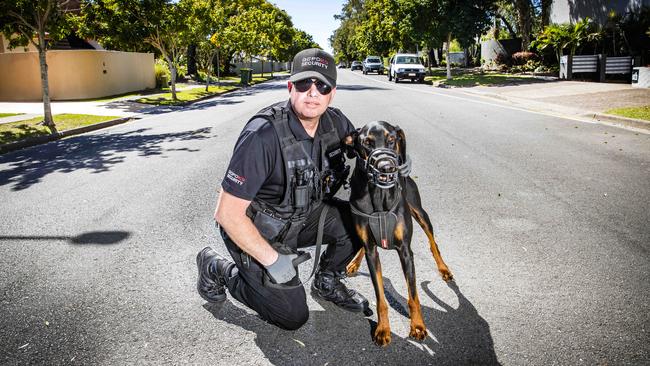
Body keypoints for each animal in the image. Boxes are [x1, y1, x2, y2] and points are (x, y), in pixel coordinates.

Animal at [344, 121, 450, 348]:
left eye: (392, 139)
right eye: (367, 142)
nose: (387, 168)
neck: (379, 197)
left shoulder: (405, 251)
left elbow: (413, 296)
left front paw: (418, 326)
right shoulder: (371, 250)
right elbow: (380, 297)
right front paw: (383, 329)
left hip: (420, 212)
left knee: (433, 243)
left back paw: (444, 269)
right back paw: (354, 263)